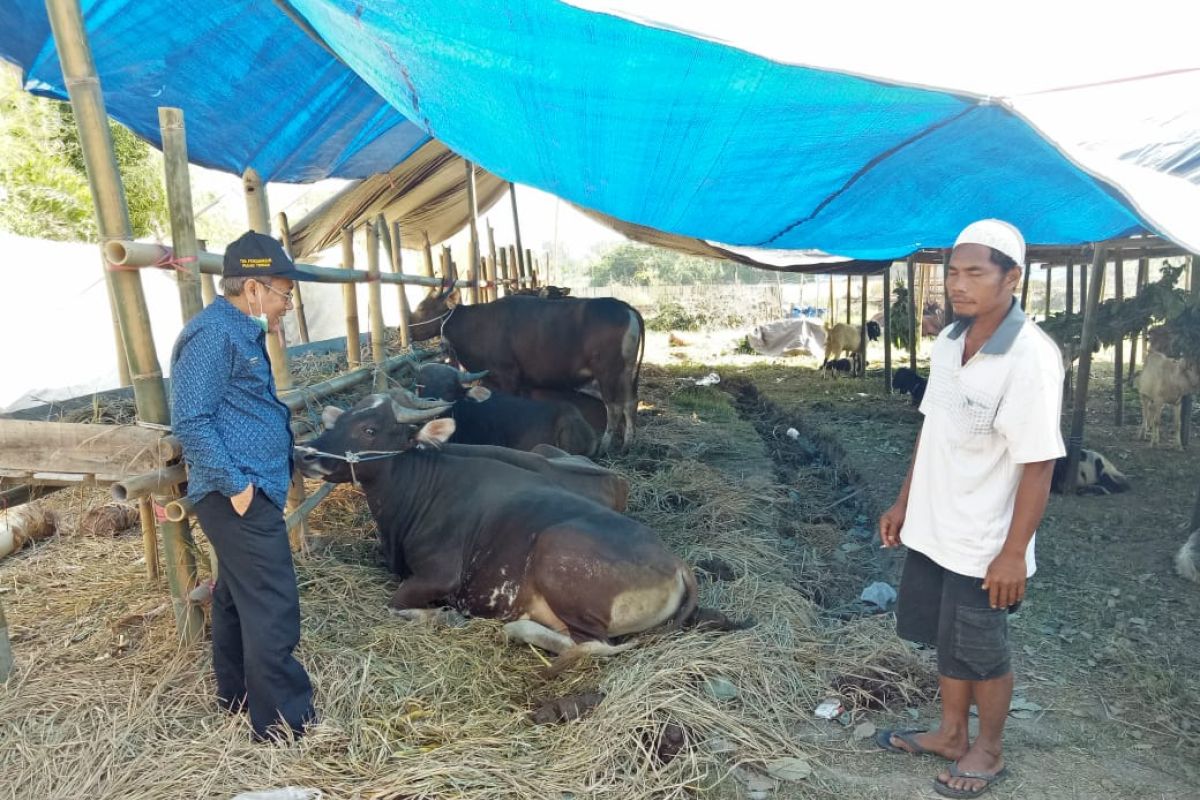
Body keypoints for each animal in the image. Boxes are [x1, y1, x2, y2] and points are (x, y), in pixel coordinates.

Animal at [294, 393, 700, 662]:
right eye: (336, 422)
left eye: (369, 429)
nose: (305, 454)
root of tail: (677, 564)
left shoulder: (440, 576)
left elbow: (395, 604)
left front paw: (446, 615)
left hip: (558, 555)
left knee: (592, 644)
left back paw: (516, 629)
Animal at [408, 289, 643, 453]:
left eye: (422, 307)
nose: (407, 330)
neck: (477, 326)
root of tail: (626, 308)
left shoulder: (508, 375)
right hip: (626, 372)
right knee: (630, 403)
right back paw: (628, 444)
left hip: (608, 373)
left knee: (614, 407)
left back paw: (606, 445)